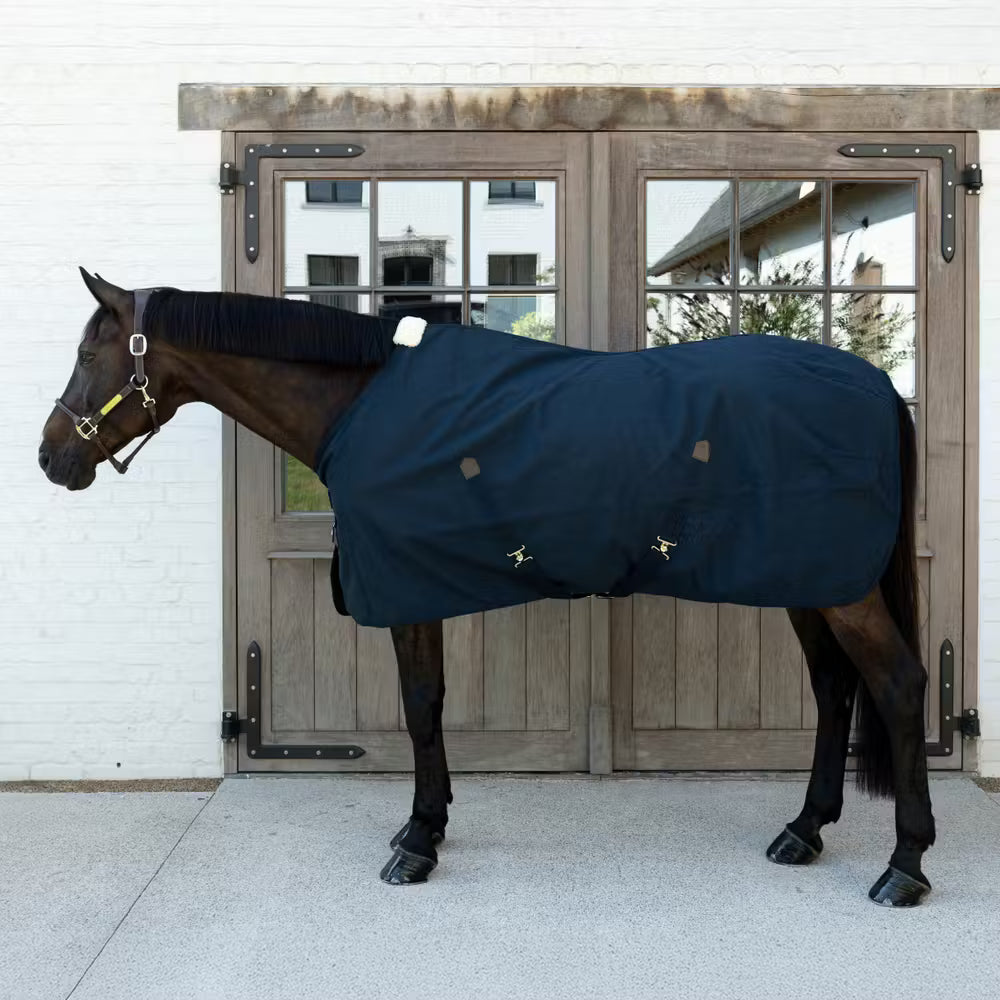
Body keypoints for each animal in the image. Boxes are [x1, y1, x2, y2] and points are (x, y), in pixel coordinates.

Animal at [38, 269, 935, 906]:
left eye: (87, 356)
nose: (52, 458)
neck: (361, 401)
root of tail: (876, 386)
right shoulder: (420, 585)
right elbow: (430, 704)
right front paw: (429, 826)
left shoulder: (407, 587)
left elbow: (420, 705)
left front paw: (415, 844)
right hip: (808, 579)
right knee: (833, 688)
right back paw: (805, 831)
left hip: (840, 589)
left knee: (896, 684)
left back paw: (904, 866)